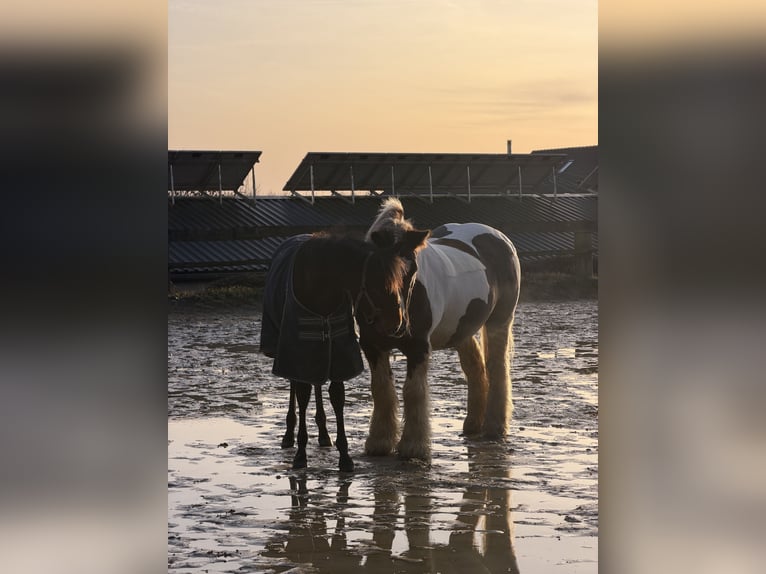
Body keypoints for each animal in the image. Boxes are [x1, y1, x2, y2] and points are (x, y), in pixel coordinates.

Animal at [259, 230, 429, 472]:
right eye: (376, 286)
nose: (398, 324)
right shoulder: (300, 349)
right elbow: (302, 395)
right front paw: (301, 454)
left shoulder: (338, 351)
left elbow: (337, 396)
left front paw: (344, 455)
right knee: (296, 385)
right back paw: (289, 434)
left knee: (317, 383)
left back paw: (323, 433)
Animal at [358, 198, 521, 461]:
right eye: (379, 268)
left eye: (413, 270)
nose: (396, 324)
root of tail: (499, 237)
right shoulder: (372, 347)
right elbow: (382, 390)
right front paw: (379, 443)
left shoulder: (418, 348)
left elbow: (413, 392)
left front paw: (413, 447)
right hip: (462, 328)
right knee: (475, 369)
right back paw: (473, 424)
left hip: (500, 322)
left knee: (497, 370)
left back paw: (494, 427)